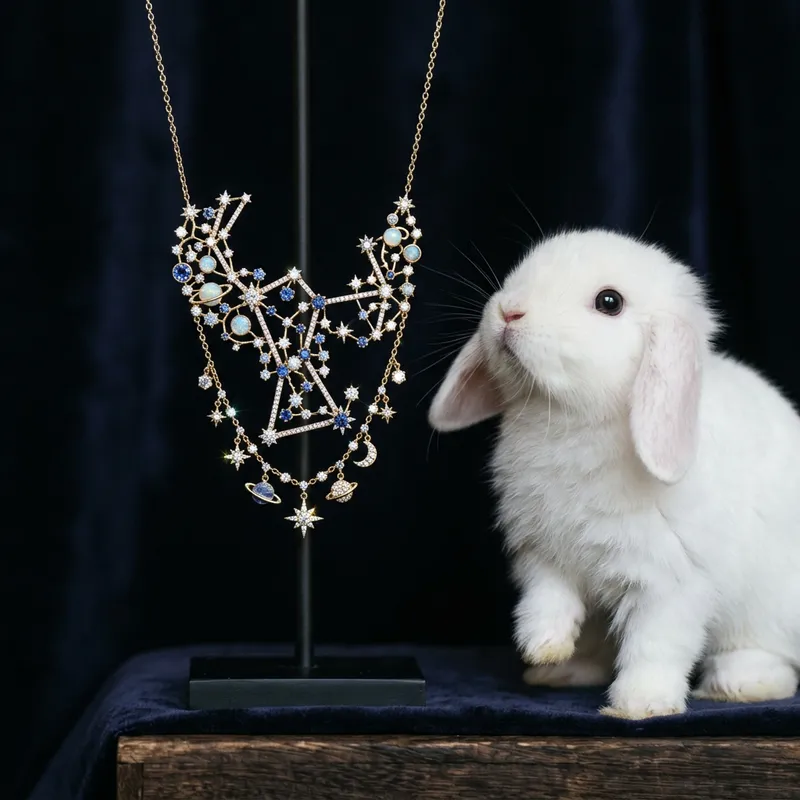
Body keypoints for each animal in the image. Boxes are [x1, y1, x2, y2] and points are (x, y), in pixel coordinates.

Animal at [428, 228, 800, 719]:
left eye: (609, 302)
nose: (509, 310)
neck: (570, 420)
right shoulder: (544, 555)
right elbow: (548, 601)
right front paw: (541, 647)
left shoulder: (671, 582)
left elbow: (654, 645)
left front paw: (639, 704)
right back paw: (559, 672)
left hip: (768, 610)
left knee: (768, 655)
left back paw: (738, 683)